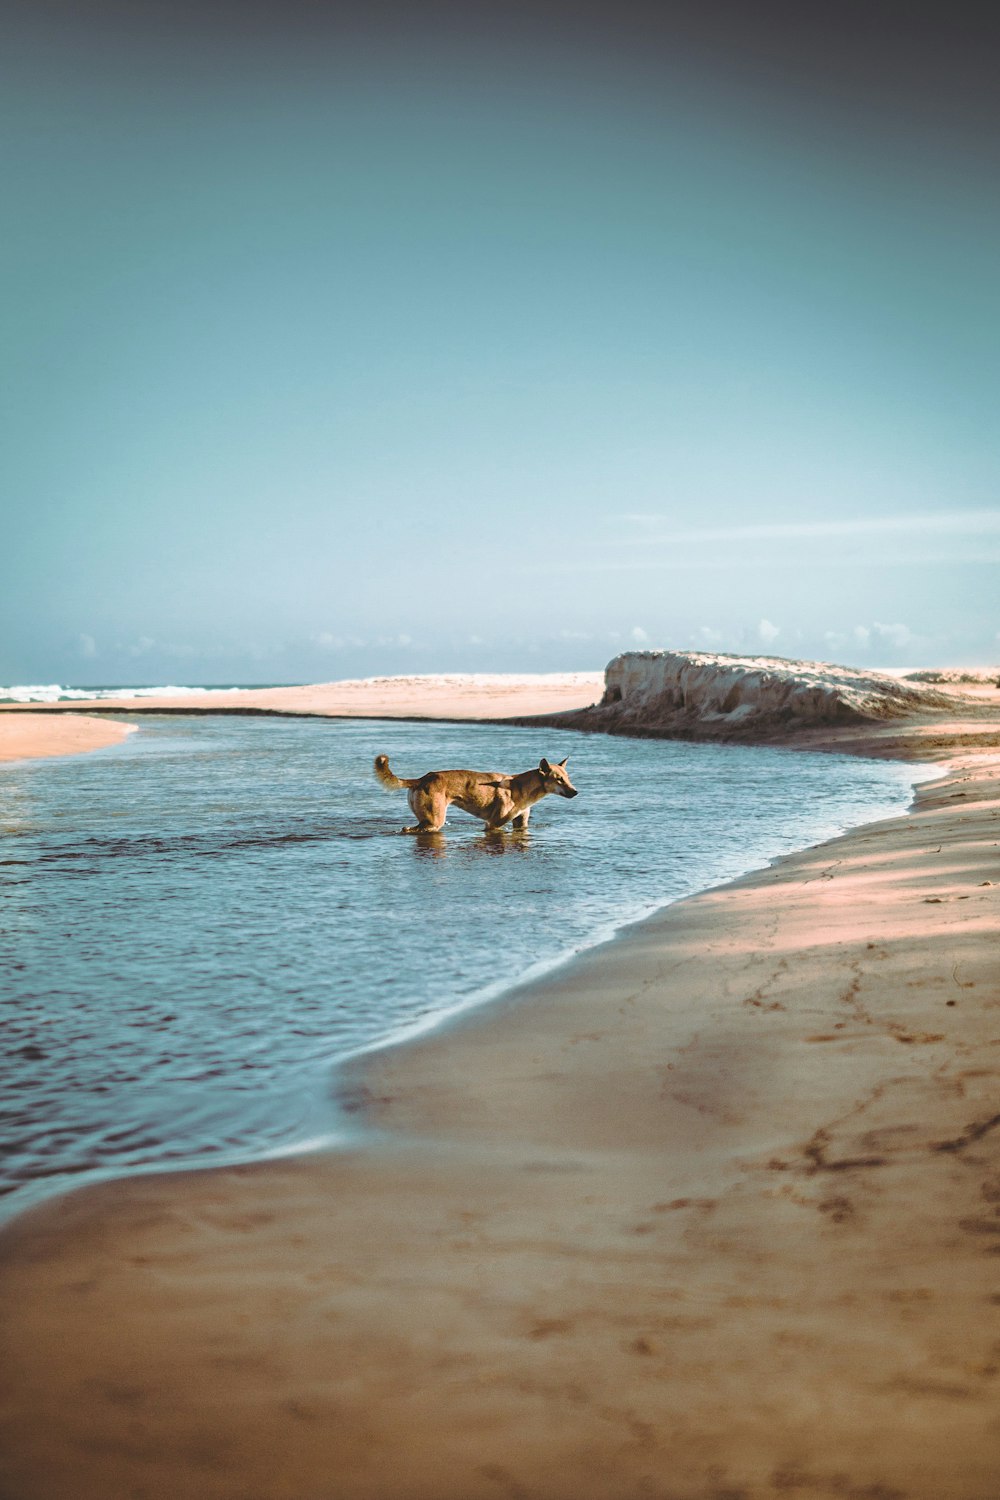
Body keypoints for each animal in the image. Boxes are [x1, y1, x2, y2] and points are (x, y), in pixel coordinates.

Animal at [374, 750, 578, 834]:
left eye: (567, 777)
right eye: (558, 779)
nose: (575, 792)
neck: (521, 788)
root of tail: (421, 779)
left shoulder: (520, 824)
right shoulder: (493, 824)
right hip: (434, 821)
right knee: (408, 829)